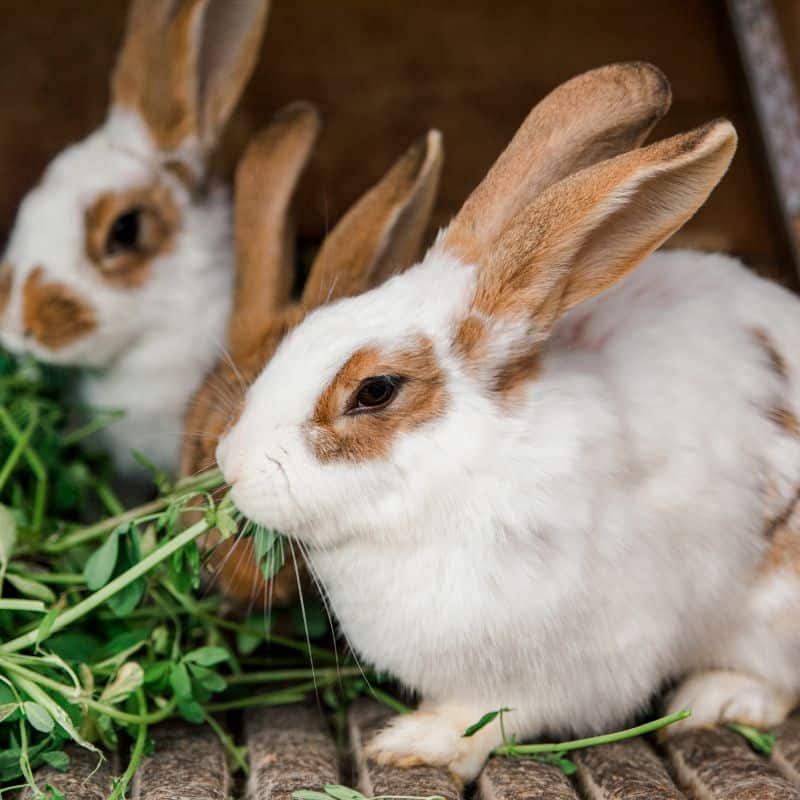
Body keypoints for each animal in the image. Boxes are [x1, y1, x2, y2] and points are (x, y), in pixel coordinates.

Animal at [214, 61, 800, 780]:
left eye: (374, 391)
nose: (230, 464)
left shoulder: (579, 658)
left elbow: (497, 714)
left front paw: (416, 742)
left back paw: (720, 698)